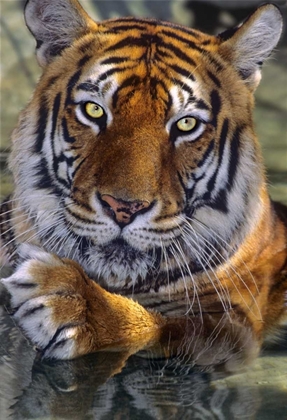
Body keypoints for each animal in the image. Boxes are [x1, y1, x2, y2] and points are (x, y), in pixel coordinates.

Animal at [0, 0, 286, 370]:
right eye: (94, 110)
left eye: (186, 124)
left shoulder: (234, 327)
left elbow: (167, 325)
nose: (124, 208)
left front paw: (68, 301)